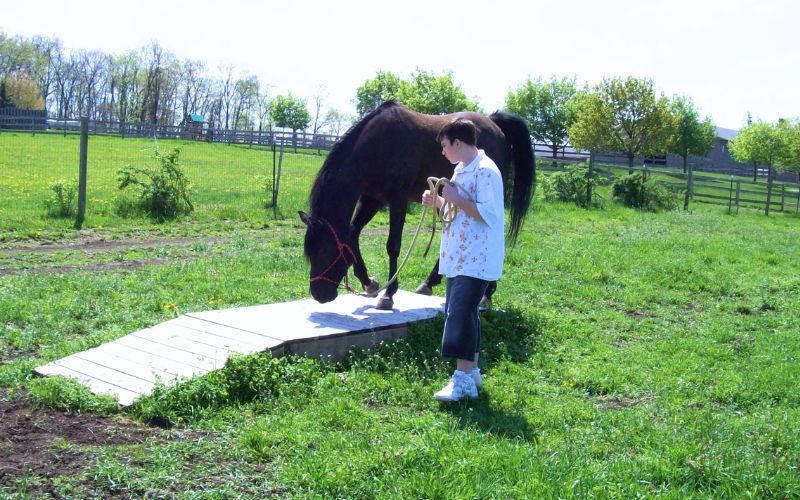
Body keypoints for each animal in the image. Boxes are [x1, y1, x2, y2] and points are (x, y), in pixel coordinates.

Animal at [300, 100, 536, 310]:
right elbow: (352, 235)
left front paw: (388, 295)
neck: (379, 145)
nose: (319, 294)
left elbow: (393, 246)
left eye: (323, 250)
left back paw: (485, 295)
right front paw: (370, 283)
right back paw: (430, 283)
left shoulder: (397, 199)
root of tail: (493, 123)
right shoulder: (372, 199)